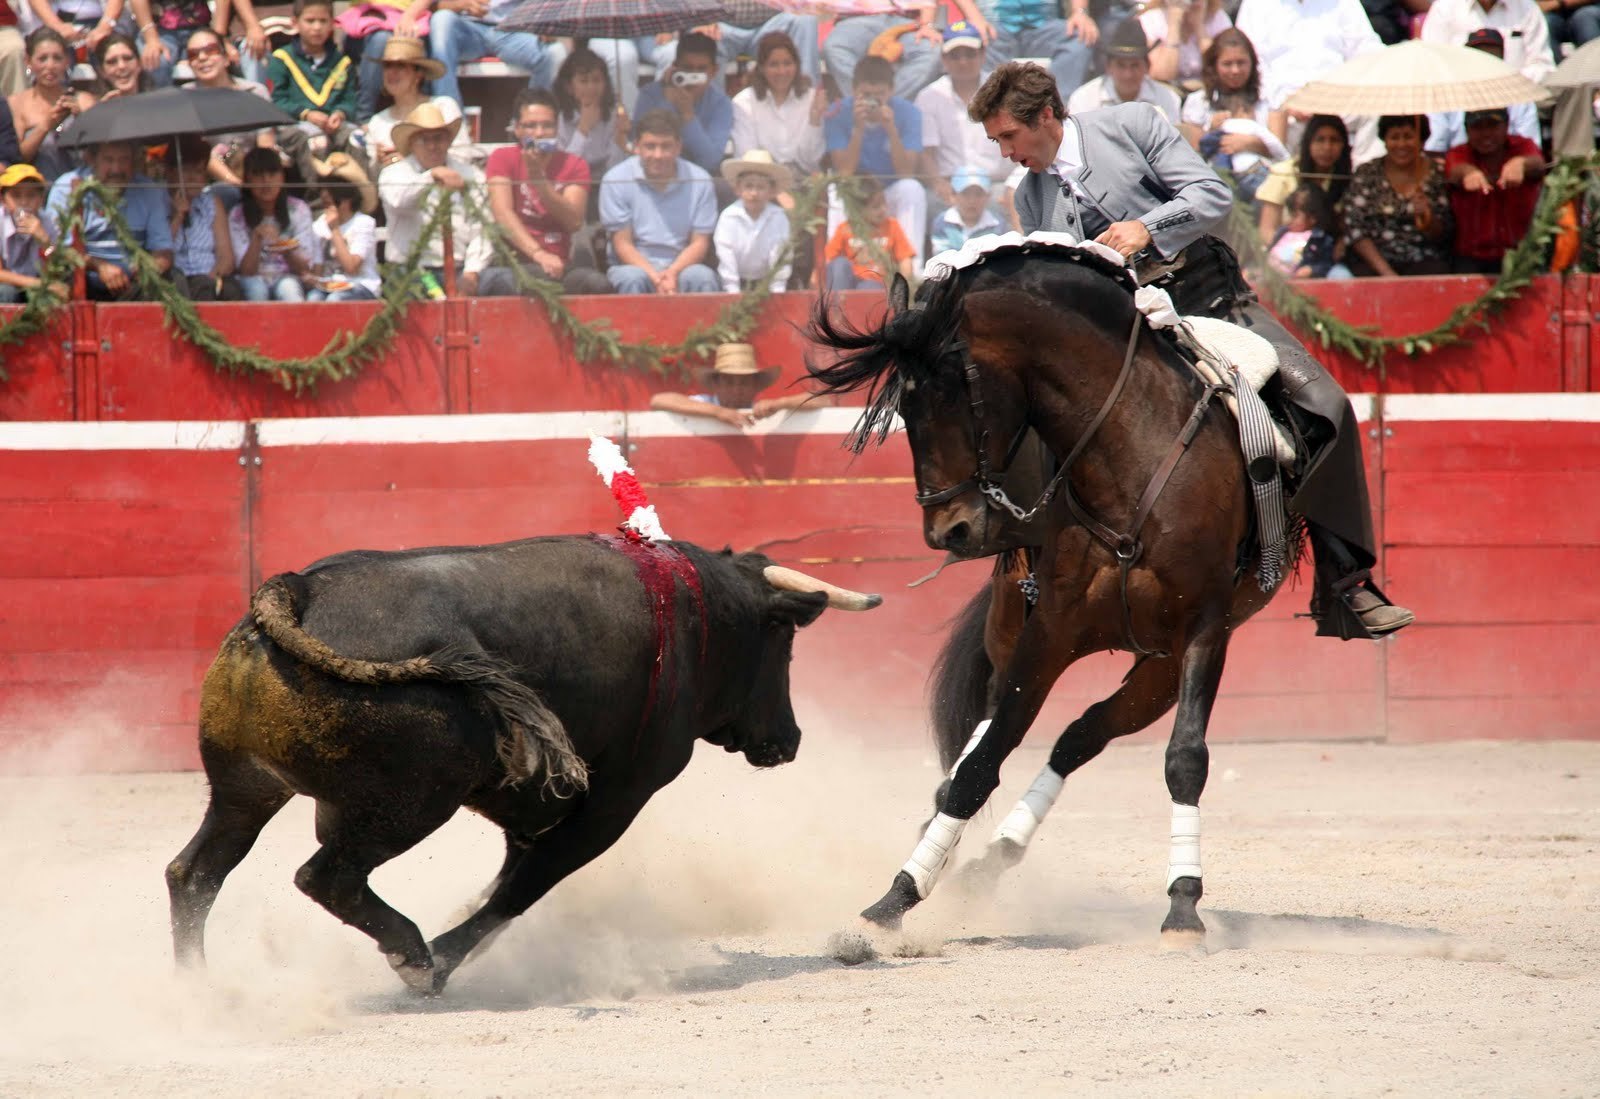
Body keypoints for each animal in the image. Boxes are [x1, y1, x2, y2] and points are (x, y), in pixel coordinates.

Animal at [165, 534, 876, 998]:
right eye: (783, 643)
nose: (788, 739)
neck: (695, 614)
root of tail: (297, 589)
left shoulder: (535, 803)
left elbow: (512, 875)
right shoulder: (619, 798)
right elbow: (525, 886)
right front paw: (441, 957)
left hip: (244, 787)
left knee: (195, 873)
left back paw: (199, 991)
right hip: (411, 804)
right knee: (327, 877)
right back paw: (415, 956)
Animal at [806, 247, 1292, 947]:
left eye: (952, 390)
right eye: (903, 408)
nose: (948, 530)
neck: (1132, 458)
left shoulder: (1203, 630)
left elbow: (1186, 760)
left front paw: (1183, 906)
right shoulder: (1049, 630)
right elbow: (981, 763)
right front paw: (896, 898)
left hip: (1159, 666)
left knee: (1080, 735)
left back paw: (993, 859)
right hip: (1017, 621)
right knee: (999, 737)